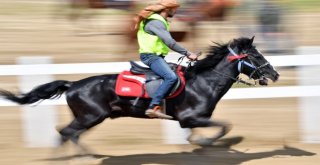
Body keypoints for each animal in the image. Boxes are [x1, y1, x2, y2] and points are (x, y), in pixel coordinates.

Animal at [0, 37, 278, 148]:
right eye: (256, 56)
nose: (275, 74)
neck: (203, 82)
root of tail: (73, 85)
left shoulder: (189, 121)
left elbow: (203, 133)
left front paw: (198, 143)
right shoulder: (191, 117)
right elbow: (224, 127)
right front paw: (206, 142)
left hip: (89, 118)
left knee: (68, 134)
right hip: (90, 116)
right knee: (66, 133)